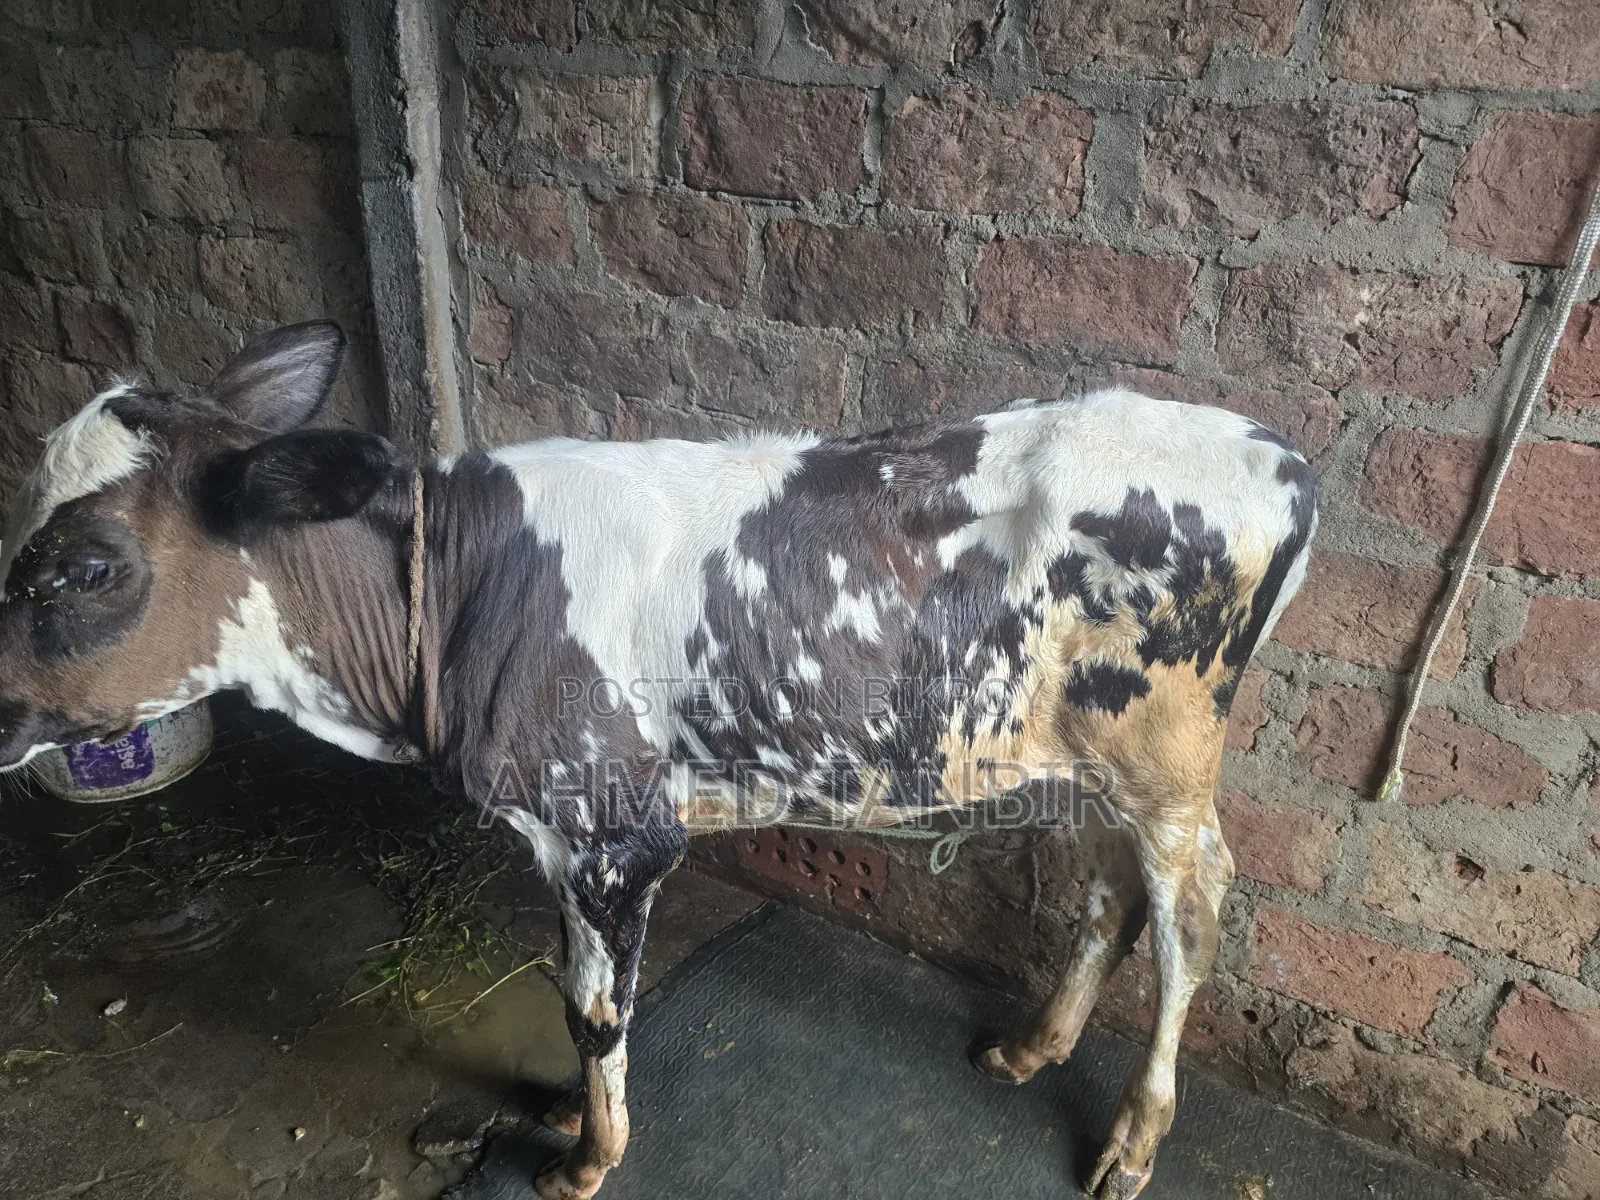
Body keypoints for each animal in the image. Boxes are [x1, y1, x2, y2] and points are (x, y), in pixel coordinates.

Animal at [0, 321, 1315, 1200]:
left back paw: (1132, 1143)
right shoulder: (566, 832)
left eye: (87, 567)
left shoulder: (614, 832)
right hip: (1078, 751)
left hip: (1166, 763)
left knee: (1191, 911)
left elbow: (594, 1011)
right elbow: (576, 993)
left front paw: (586, 1159)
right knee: (1101, 890)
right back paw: (1031, 1048)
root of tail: (1271, 448)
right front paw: (573, 1127)